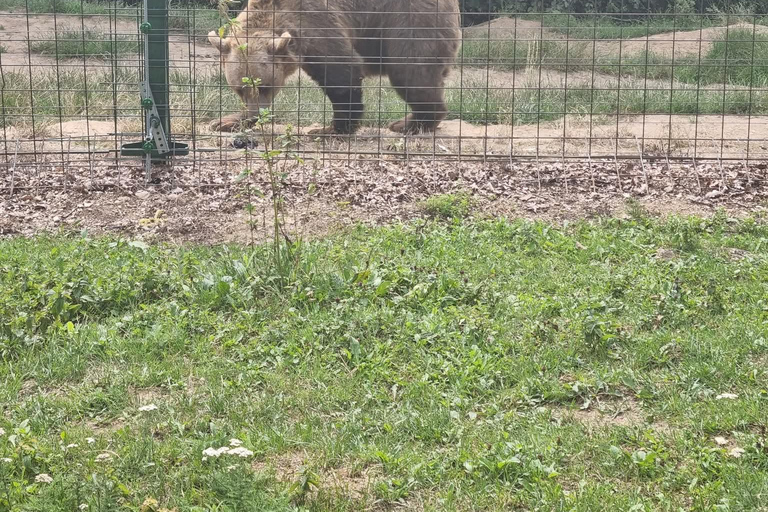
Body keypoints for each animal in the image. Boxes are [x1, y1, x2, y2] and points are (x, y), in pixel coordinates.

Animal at [208, 0, 461, 135]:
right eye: (239, 89)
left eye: (265, 86)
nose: (256, 115)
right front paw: (226, 121)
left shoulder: (318, 24)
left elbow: (341, 72)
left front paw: (329, 129)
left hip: (409, 19)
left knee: (409, 70)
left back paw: (408, 123)